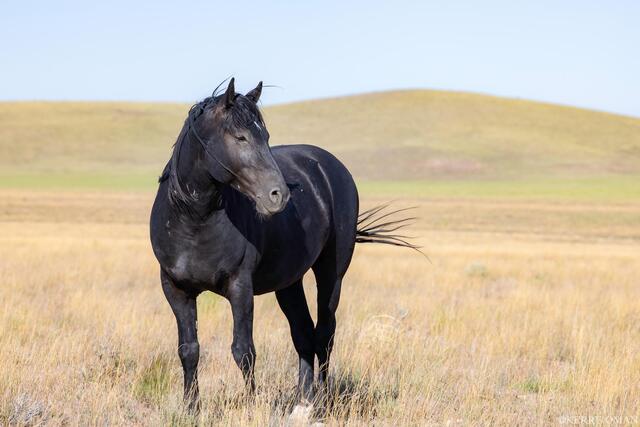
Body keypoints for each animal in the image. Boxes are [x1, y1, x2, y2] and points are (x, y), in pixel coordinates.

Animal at [149, 78, 418, 410]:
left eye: (265, 136)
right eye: (239, 137)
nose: (278, 195)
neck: (194, 219)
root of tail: (330, 165)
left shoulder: (240, 287)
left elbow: (244, 350)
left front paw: (250, 405)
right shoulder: (176, 289)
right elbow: (189, 349)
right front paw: (191, 409)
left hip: (331, 274)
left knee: (324, 334)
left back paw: (321, 400)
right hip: (289, 283)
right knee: (302, 333)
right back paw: (304, 397)